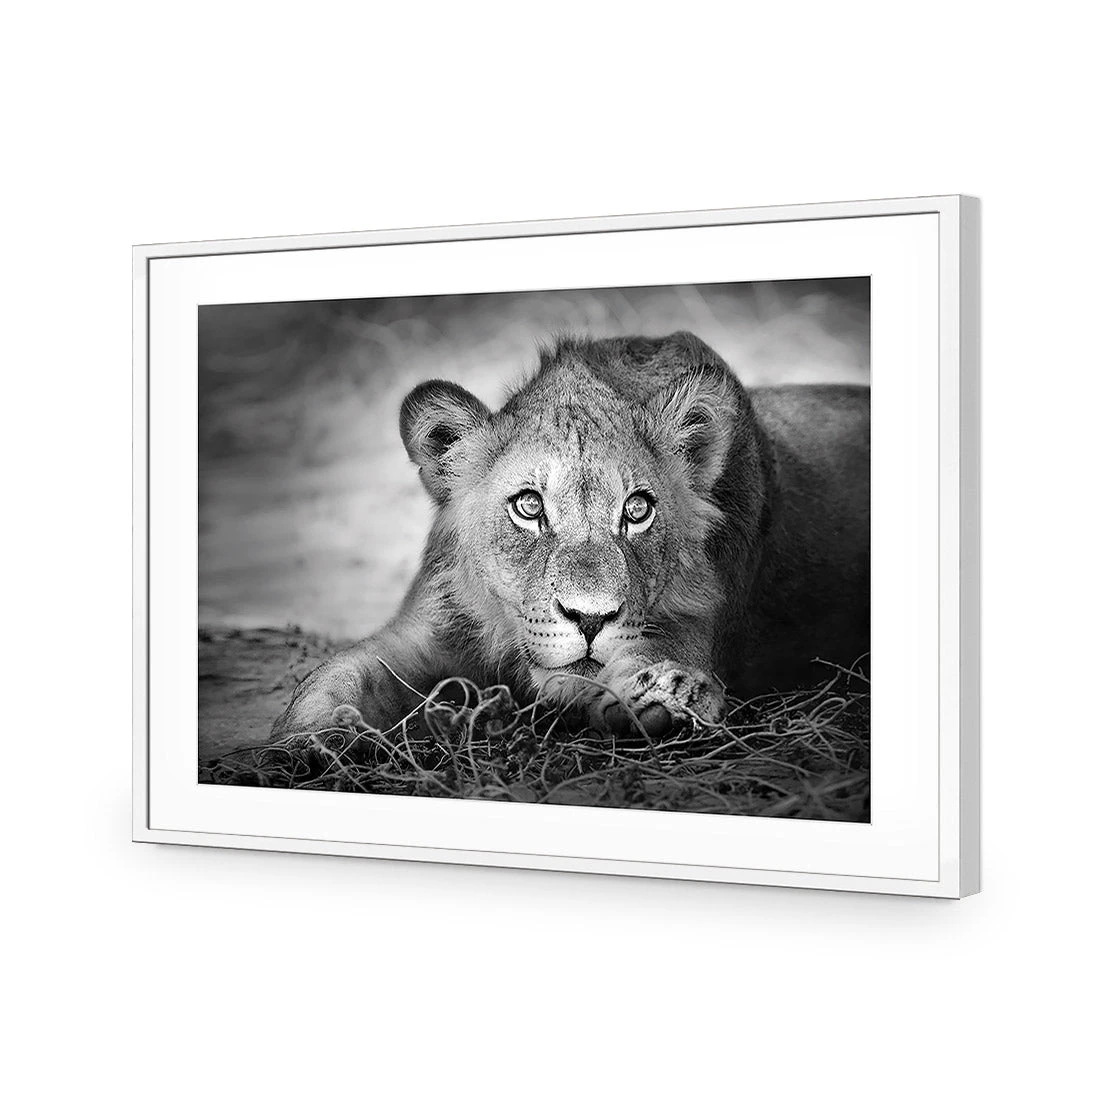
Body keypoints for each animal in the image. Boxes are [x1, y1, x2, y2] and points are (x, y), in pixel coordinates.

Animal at [272, 331, 869, 741]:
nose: (589, 619)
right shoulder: (428, 630)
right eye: (529, 506)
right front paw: (305, 743)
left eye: (637, 510)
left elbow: (659, 654)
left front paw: (667, 695)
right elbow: (336, 675)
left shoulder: (701, 623)